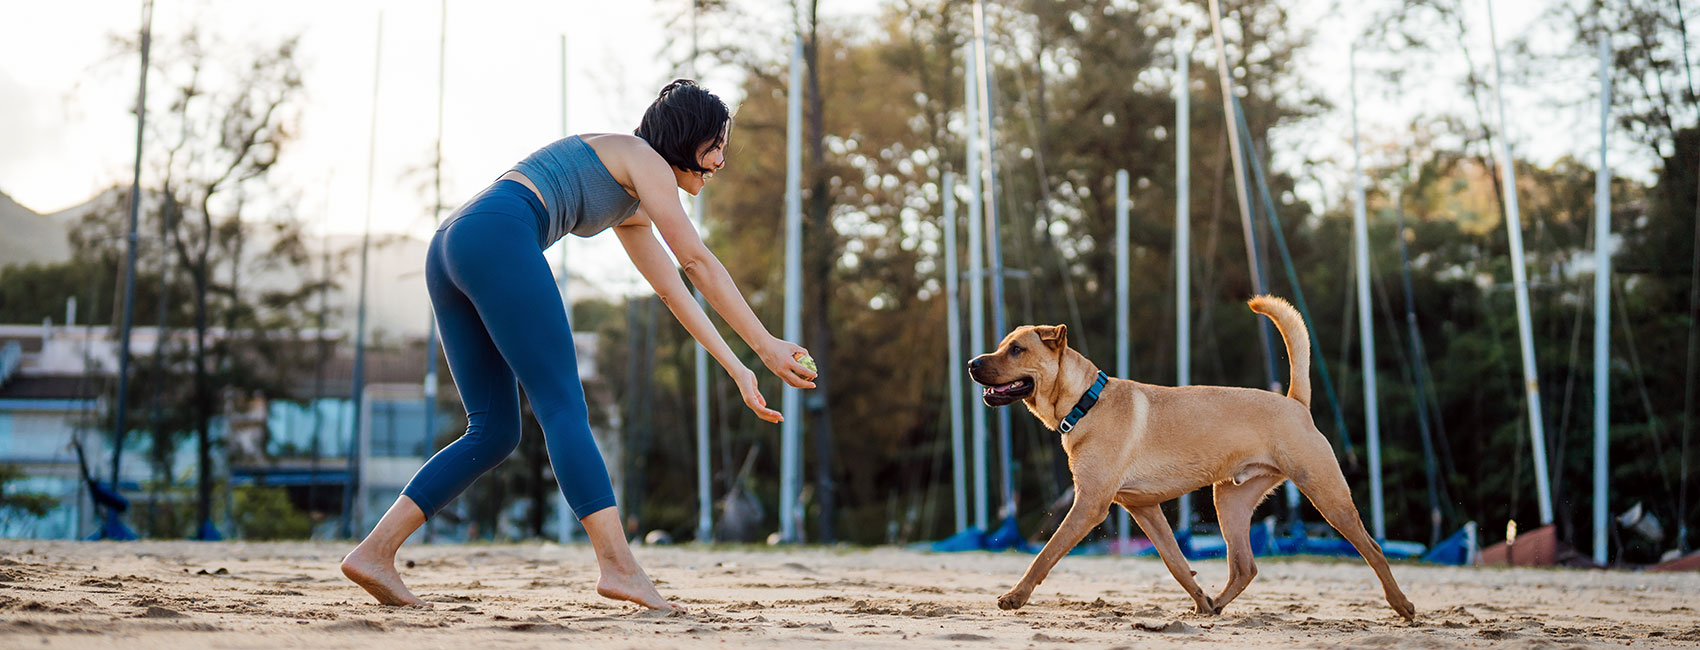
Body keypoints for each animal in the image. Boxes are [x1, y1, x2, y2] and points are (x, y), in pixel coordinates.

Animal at [972, 294, 1421, 619]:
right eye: (1001, 347)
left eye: (1016, 349)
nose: (972, 362)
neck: (1087, 400)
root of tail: (1296, 402)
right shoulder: (1144, 507)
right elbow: (1174, 560)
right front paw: (1200, 600)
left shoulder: (1090, 504)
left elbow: (1045, 555)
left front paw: (1014, 597)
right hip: (1231, 501)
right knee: (1245, 566)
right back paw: (1218, 605)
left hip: (1326, 494)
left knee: (1373, 548)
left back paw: (1402, 605)